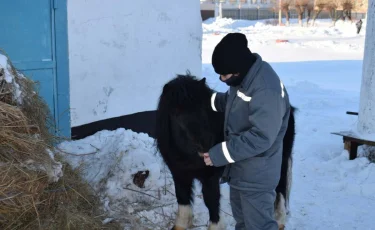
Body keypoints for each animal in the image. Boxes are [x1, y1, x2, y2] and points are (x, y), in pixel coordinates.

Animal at [154, 73, 296, 230]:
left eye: (203, 107)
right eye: (176, 113)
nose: (206, 145)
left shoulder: (210, 177)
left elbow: (211, 200)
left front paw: (216, 225)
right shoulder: (179, 174)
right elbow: (182, 197)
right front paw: (181, 224)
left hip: (280, 161)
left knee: (280, 187)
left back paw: (280, 220)